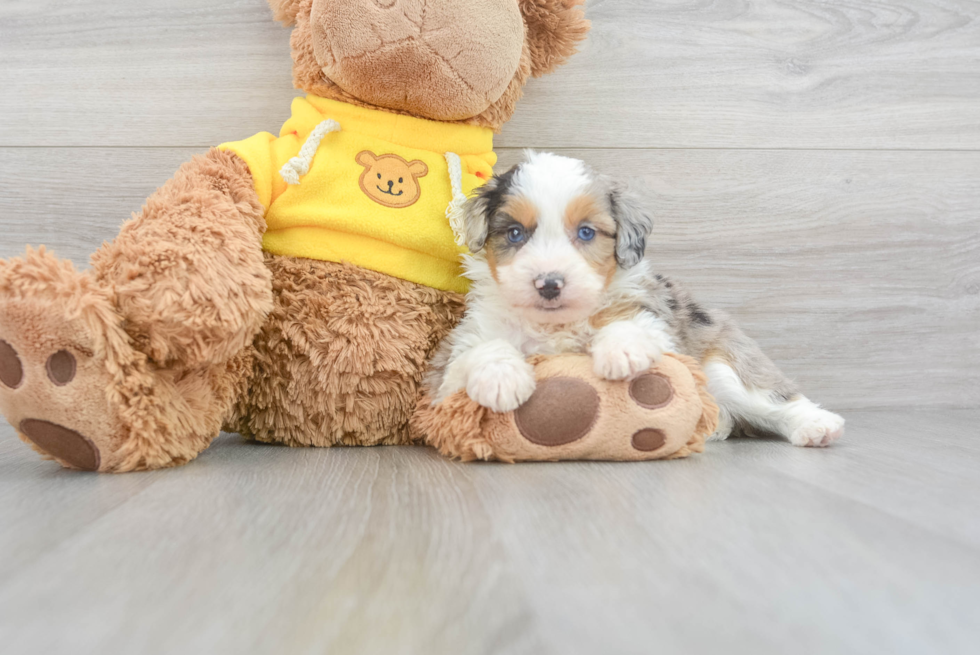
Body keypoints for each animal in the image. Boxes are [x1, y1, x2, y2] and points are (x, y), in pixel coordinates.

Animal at [432, 152, 848, 448]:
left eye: (586, 232)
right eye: (516, 233)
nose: (549, 284)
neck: (557, 325)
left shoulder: (661, 327)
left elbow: (633, 325)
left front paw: (622, 351)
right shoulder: (444, 375)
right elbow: (479, 351)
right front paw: (501, 378)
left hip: (722, 367)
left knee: (772, 396)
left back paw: (816, 425)